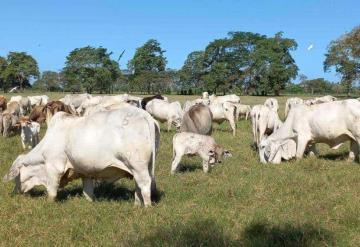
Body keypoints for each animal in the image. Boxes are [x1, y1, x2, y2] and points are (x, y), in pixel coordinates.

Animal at [3, 106, 160, 206]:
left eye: (16, 177)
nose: (16, 192)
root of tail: (145, 115)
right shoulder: (86, 172)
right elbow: (87, 192)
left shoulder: (54, 168)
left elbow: (52, 191)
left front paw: (48, 203)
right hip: (141, 167)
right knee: (138, 186)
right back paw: (136, 204)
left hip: (138, 166)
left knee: (145, 184)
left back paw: (146, 207)